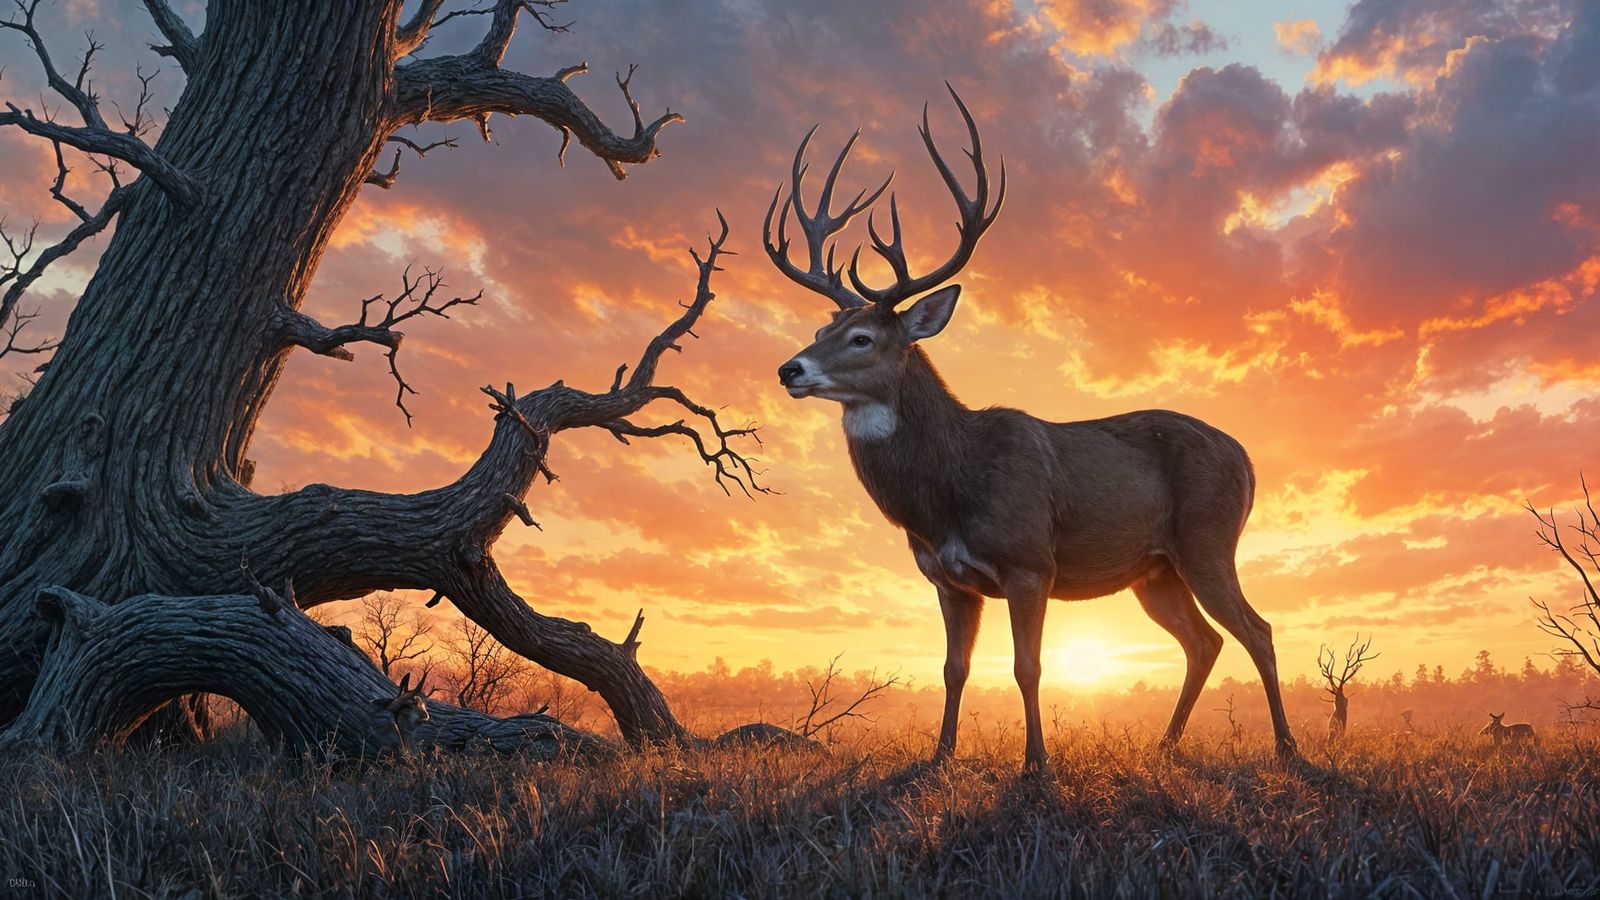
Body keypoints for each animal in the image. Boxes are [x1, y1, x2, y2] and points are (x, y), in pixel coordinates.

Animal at [764, 86, 1298, 770]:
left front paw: (1036, 763)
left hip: (1207, 537)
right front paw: (940, 756)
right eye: (819, 329)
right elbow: (954, 669)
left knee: (1258, 629)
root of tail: (1248, 460)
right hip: (1155, 571)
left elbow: (1028, 667)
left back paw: (1285, 747)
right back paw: (1165, 745)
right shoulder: (947, 580)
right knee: (1204, 641)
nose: (789, 368)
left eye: (862, 338)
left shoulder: (1029, 561)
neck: (949, 490)